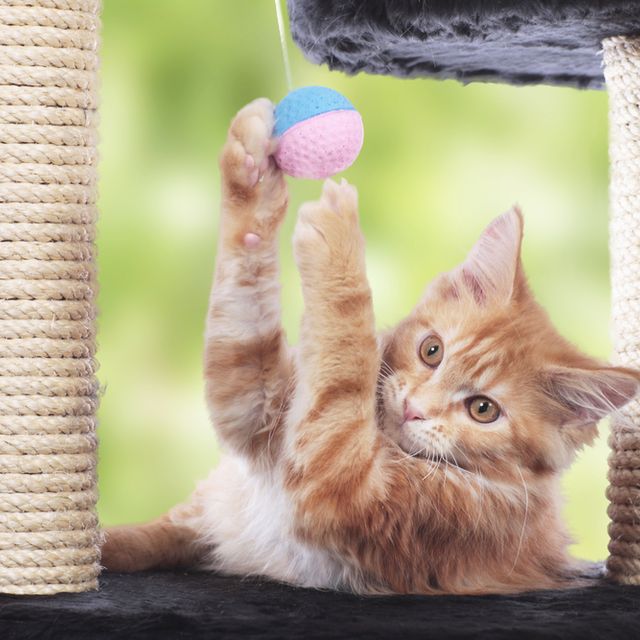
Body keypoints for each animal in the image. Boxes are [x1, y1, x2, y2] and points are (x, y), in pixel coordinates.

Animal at [102, 99, 640, 596]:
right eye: (431, 351)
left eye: (483, 409)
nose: (415, 408)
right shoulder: (258, 403)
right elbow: (245, 297)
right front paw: (253, 170)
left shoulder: (354, 492)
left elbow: (346, 354)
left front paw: (340, 237)